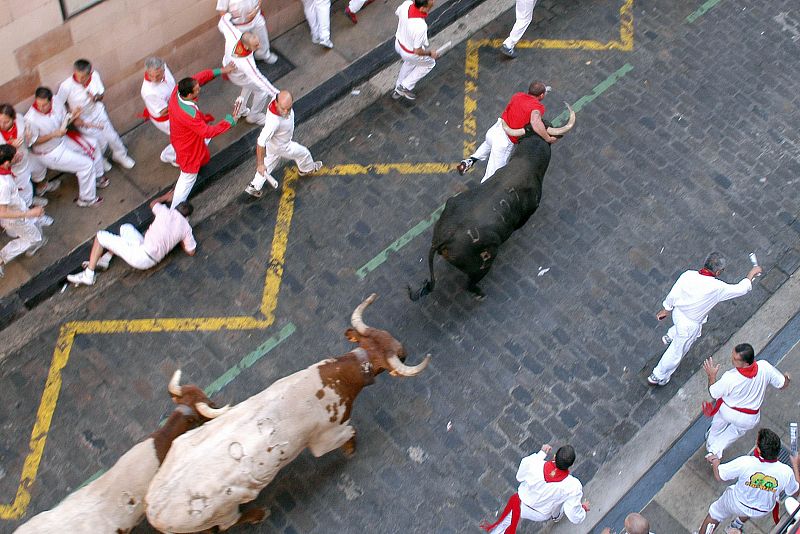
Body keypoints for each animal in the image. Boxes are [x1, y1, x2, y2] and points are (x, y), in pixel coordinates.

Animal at [145, 296, 432, 532]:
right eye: (396, 354)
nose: (404, 350)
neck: (335, 377)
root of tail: (153, 509)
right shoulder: (323, 440)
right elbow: (351, 431)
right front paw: (351, 449)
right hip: (223, 511)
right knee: (228, 524)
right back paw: (259, 513)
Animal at [410, 126, 552, 302]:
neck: (527, 161)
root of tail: (444, 237)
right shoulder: (529, 211)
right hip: (483, 263)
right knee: (470, 284)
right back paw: (480, 294)